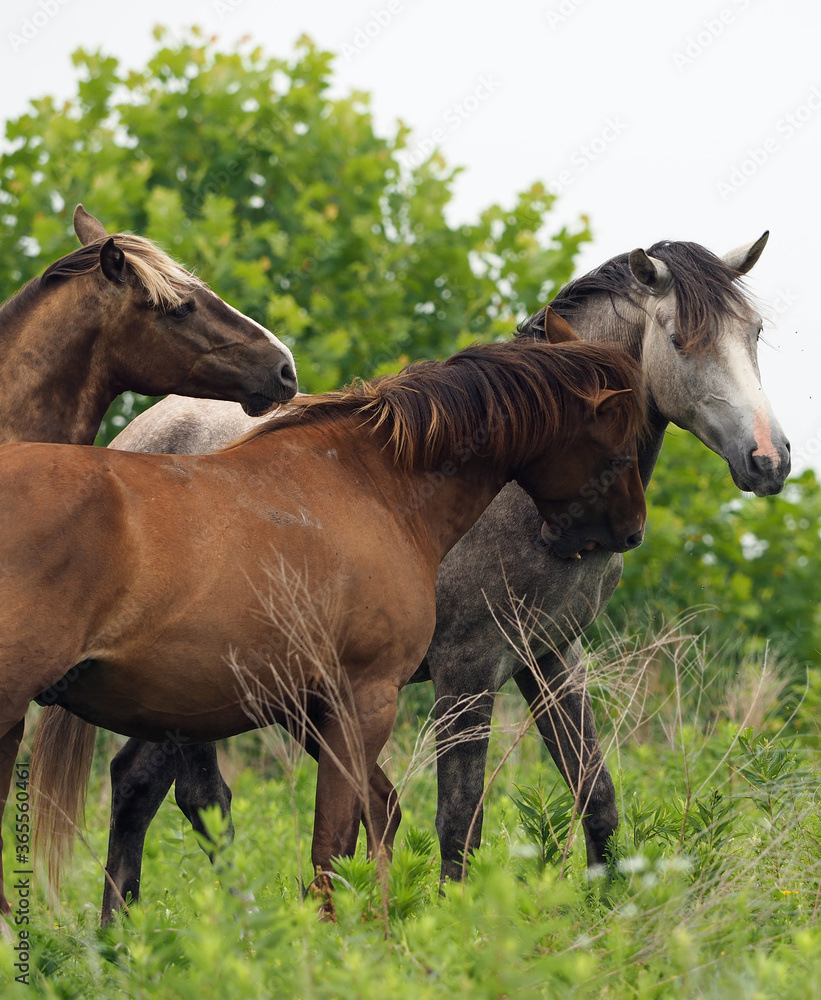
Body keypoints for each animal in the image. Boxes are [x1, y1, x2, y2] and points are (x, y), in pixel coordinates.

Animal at [7, 335, 647, 922]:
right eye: (620, 441)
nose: (632, 531)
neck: (373, 486)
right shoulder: (373, 697)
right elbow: (339, 842)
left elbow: (371, 821)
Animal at [70, 233, 789, 908]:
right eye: (681, 340)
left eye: (753, 332)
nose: (769, 459)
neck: (516, 490)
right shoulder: (466, 669)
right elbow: (459, 820)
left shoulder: (550, 657)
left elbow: (597, 795)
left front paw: (611, 915)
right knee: (181, 794)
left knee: (148, 786)